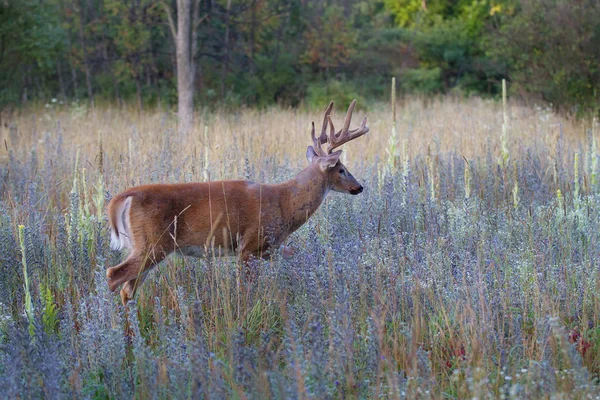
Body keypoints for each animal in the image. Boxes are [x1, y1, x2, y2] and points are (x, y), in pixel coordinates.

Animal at [108, 101, 370, 304]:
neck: (284, 202)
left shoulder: (267, 251)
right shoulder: (249, 246)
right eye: (342, 169)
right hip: (152, 243)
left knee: (127, 289)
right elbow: (245, 292)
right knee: (113, 276)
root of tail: (125, 197)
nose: (359, 187)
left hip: (146, 247)